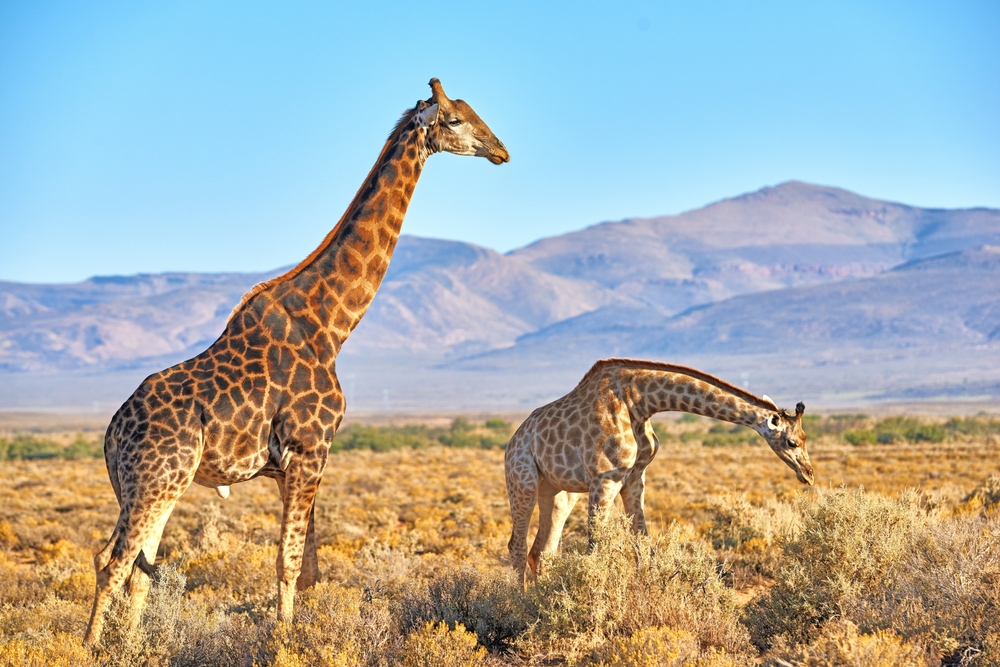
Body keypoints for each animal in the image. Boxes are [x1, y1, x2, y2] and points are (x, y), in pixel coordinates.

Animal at [84, 78, 509, 645]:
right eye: (457, 120)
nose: (501, 150)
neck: (330, 326)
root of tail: (112, 431)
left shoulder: (295, 465)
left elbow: (306, 567)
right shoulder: (310, 450)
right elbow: (287, 563)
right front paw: (284, 639)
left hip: (156, 484)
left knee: (134, 567)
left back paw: (132, 645)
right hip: (155, 479)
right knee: (113, 562)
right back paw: (89, 648)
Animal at [505, 358, 813, 587]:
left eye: (805, 437)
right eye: (792, 442)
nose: (808, 474)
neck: (640, 402)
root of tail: (514, 440)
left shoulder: (634, 478)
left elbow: (642, 541)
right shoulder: (604, 479)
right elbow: (596, 548)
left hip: (559, 491)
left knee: (542, 550)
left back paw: (539, 599)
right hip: (523, 481)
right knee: (517, 546)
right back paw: (519, 604)